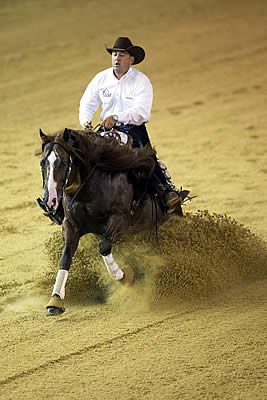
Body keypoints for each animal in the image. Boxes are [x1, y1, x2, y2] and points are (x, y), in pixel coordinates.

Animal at [38, 128, 186, 316]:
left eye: (64, 162)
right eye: (42, 163)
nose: (50, 201)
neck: (89, 190)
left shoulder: (120, 219)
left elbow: (104, 247)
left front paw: (126, 276)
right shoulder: (71, 225)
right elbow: (65, 257)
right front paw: (55, 300)